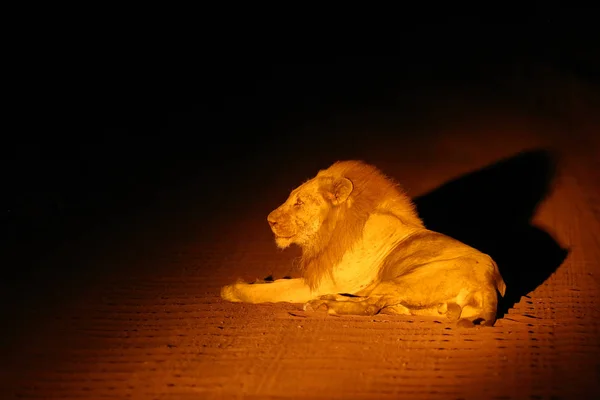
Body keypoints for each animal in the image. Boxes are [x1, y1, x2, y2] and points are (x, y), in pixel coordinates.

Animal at [221, 161, 506, 326]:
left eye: (299, 202)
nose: (269, 220)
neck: (331, 232)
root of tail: (489, 284)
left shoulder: (319, 282)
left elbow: (278, 288)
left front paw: (233, 290)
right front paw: (257, 280)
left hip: (403, 280)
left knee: (370, 306)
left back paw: (326, 306)